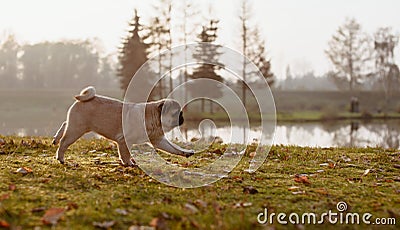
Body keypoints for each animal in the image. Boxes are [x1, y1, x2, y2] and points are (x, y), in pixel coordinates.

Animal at [52, 86, 194, 165]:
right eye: (176, 113)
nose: (182, 117)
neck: (152, 117)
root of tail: (84, 99)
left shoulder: (159, 140)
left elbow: (174, 148)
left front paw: (186, 152)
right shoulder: (124, 141)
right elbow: (125, 154)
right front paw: (128, 163)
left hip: (75, 126)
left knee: (64, 125)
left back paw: (56, 138)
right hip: (77, 129)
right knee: (64, 143)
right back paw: (60, 158)